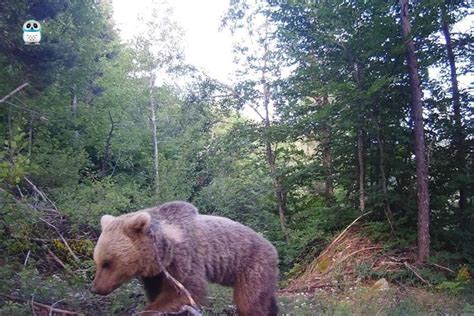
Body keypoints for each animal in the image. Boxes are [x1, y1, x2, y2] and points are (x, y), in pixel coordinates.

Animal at [90, 201, 280, 314]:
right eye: (97, 261)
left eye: (108, 263)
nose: (95, 288)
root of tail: (272, 247)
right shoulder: (155, 274)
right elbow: (158, 292)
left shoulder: (184, 258)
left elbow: (185, 291)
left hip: (253, 265)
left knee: (249, 301)